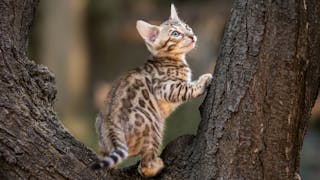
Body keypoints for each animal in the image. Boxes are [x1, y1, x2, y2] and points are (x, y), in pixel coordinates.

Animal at [92, 3, 212, 177]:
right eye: (175, 34)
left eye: (187, 27)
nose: (191, 36)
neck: (168, 58)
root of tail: (112, 125)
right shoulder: (166, 87)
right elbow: (186, 88)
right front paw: (204, 80)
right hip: (154, 129)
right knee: (144, 166)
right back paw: (157, 165)